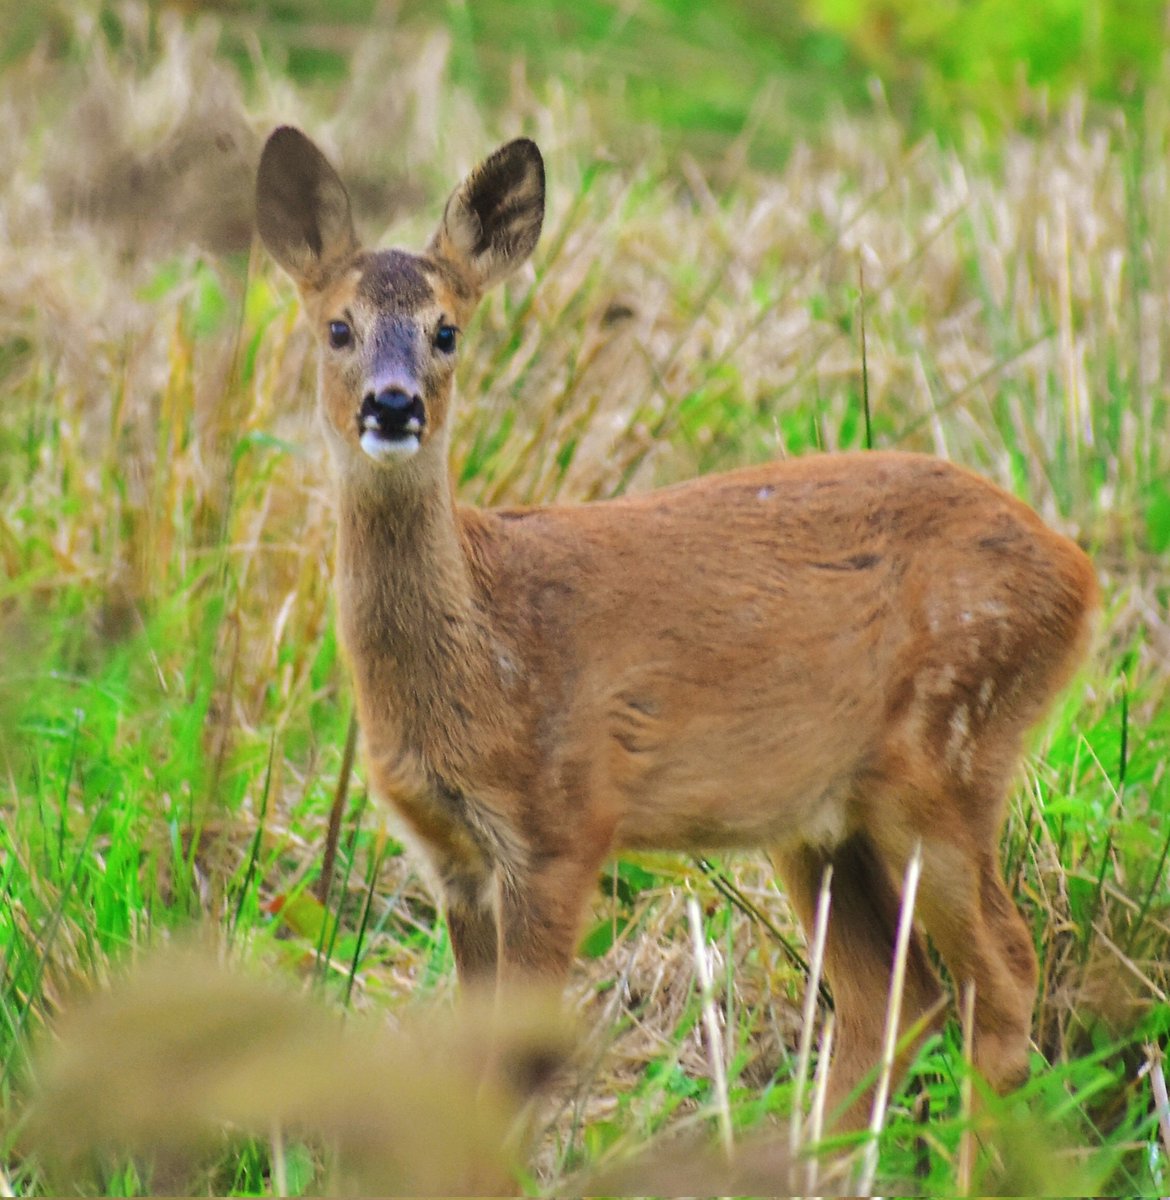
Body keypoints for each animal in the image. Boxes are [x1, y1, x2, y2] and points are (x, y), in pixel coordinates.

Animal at [255, 126, 1098, 1129]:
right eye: (337, 328)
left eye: (447, 330)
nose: (393, 405)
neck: (484, 655)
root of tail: (1079, 575)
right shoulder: (449, 853)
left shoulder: (563, 821)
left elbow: (518, 1064)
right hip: (820, 822)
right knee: (897, 1007)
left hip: (949, 753)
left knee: (1003, 980)